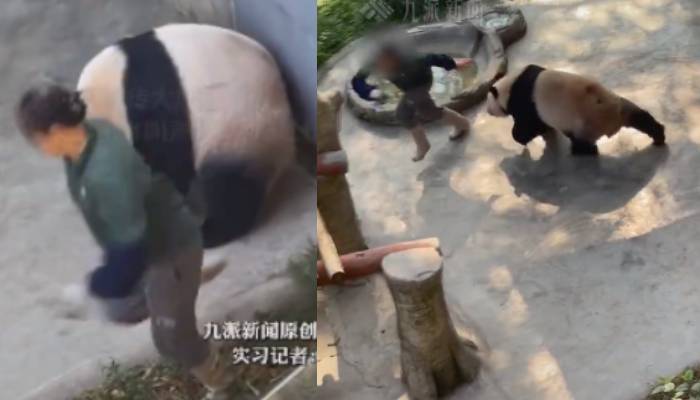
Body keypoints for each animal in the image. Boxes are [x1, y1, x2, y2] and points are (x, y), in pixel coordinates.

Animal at [484, 64, 664, 155]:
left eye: (488, 103)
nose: (487, 111)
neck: (509, 84)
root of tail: (613, 120)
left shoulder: (524, 101)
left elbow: (526, 126)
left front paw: (522, 139)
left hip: (585, 123)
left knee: (582, 141)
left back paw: (581, 150)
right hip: (619, 103)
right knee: (639, 116)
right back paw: (659, 137)